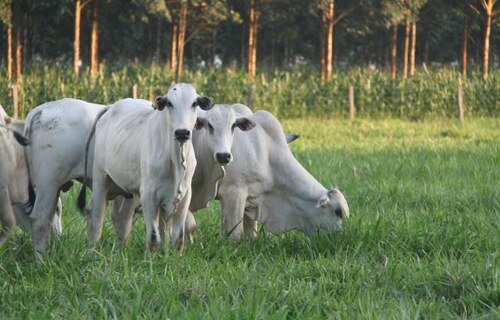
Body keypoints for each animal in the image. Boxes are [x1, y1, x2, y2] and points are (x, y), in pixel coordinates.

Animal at [81, 82, 214, 250]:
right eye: (169, 103)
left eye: (194, 103)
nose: (182, 132)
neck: (175, 159)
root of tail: (111, 107)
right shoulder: (149, 196)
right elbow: (153, 238)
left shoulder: (184, 196)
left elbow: (177, 239)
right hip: (101, 177)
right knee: (97, 214)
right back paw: (92, 247)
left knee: (122, 219)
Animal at [217, 110, 350, 240]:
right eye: (338, 212)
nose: (338, 237)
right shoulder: (234, 192)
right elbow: (235, 234)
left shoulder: (250, 198)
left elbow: (251, 233)